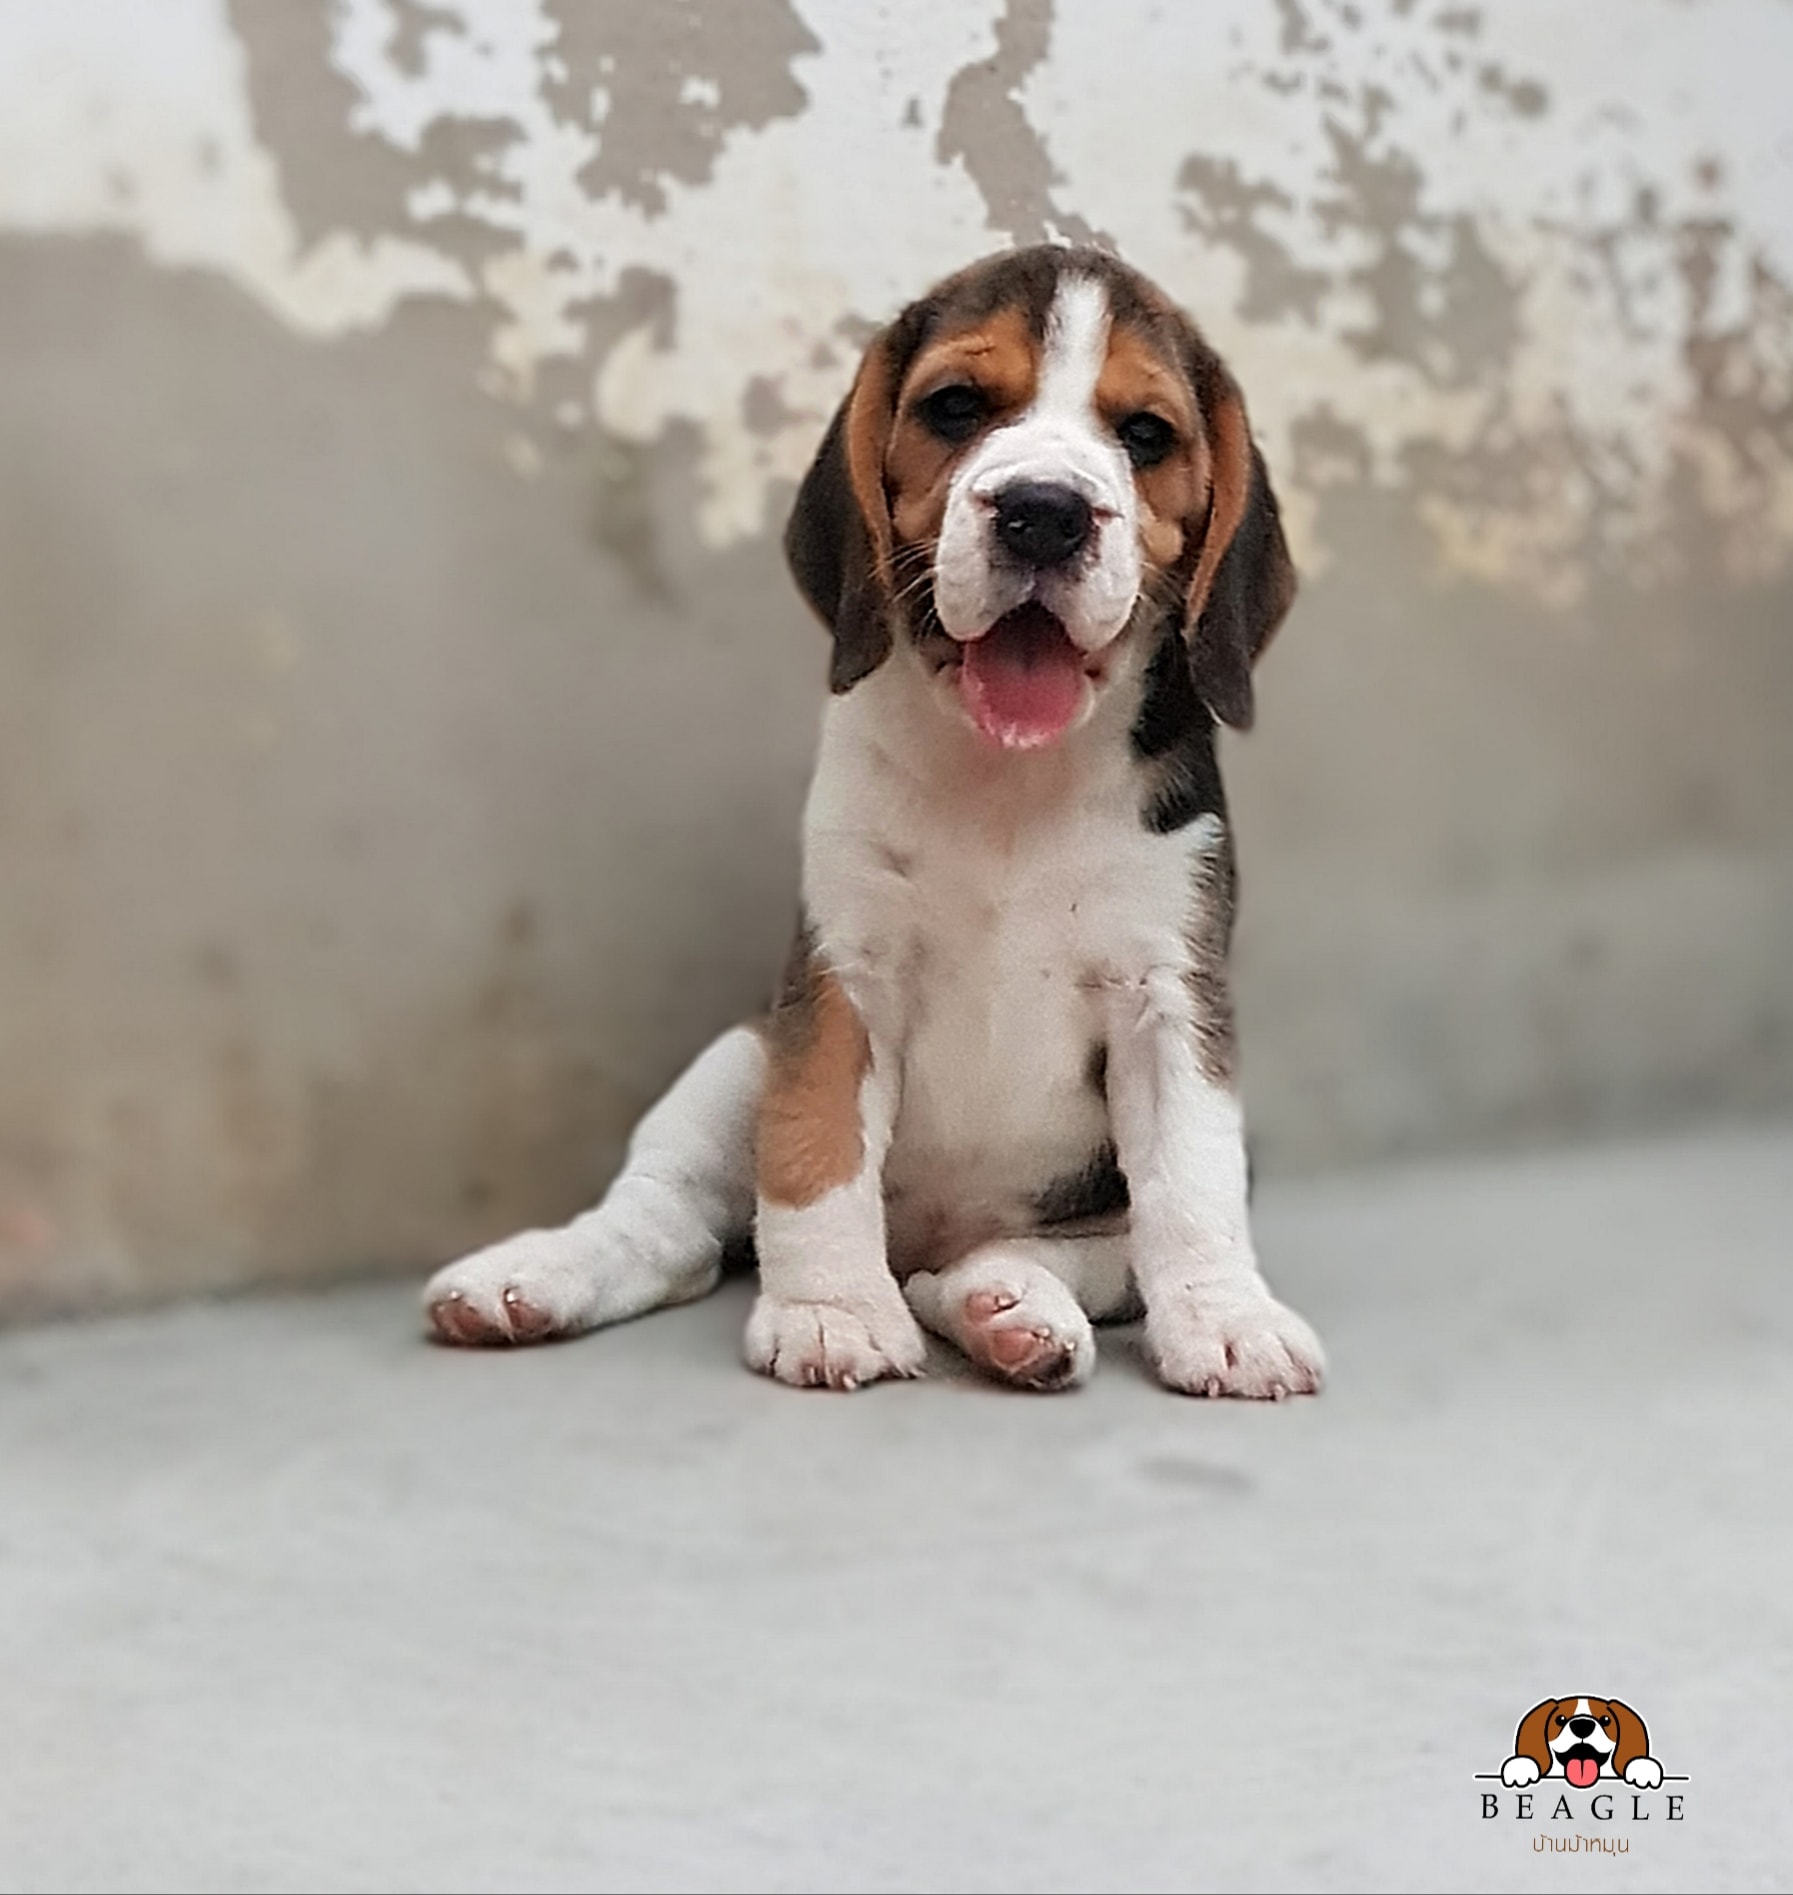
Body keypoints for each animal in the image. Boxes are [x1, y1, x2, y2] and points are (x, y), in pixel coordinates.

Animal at [424, 243, 1325, 1398]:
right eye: (955, 406)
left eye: (1144, 434)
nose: (1043, 510)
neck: (1007, 775)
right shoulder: (842, 977)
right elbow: (813, 1156)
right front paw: (829, 1310)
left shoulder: (1168, 1000)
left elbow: (1191, 1185)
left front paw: (1225, 1316)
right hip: (736, 1057)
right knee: (668, 1227)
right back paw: (534, 1274)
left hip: (1076, 1223)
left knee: (1008, 1263)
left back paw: (1006, 1307)